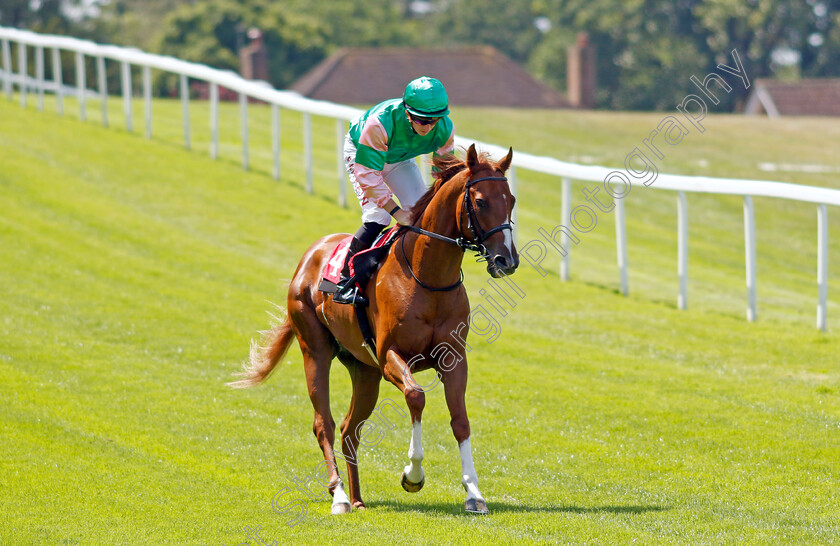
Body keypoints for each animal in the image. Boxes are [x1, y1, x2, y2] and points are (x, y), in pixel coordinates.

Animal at [230, 143, 520, 516]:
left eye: (511, 199)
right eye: (481, 201)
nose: (506, 260)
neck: (429, 277)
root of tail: (309, 256)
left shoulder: (454, 358)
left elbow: (460, 420)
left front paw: (473, 492)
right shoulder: (390, 356)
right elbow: (416, 396)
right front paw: (413, 475)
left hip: (363, 370)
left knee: (349, 429)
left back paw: (357, 499)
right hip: (315, 350)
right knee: (324, 423)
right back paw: (339, 496)